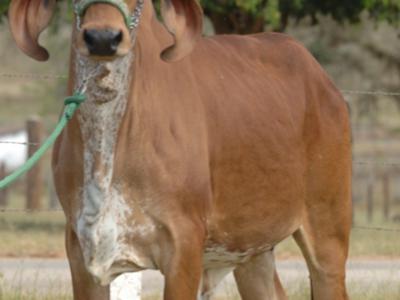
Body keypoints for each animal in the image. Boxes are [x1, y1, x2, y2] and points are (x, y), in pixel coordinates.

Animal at [7, 1, 352, 298]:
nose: (102, 38)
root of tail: (324, 82)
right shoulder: (81, 252)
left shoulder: (183, 247)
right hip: (251, 250)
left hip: (328, 235)